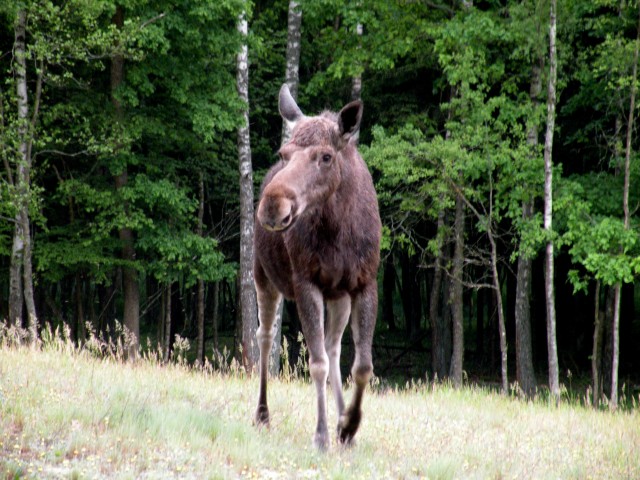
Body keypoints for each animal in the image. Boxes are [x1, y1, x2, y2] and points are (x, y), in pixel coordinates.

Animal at [251, 83, 380, 450]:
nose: (272, 205)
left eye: (326, 156)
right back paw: (262, 415)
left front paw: (348, 426)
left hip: (338, 296)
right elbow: (317, 363)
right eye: (284, 153)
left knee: (335, 347)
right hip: (263, 276)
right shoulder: (305, 282)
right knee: (265, 337)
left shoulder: (365, 283)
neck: (339, 229)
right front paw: (322, 435)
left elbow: (362, 366)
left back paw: (341, 420)